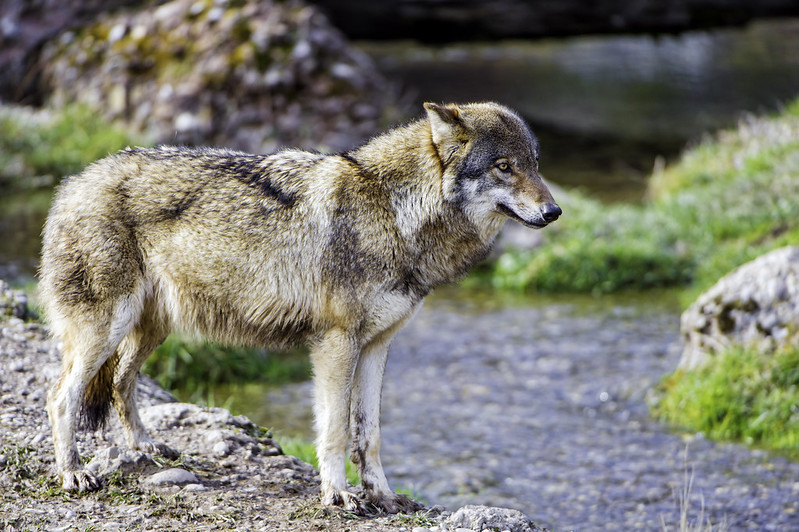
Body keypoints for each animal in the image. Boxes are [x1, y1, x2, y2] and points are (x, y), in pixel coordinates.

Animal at [40, 102, 560, 514]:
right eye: (504, 166)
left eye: (535, 165)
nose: (554, 212)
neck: (394, 212)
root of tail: (73, 182)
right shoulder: (336, 344)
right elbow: (335, 431)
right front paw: (340, 495)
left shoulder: (377, 347)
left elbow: (369, 435)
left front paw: (383, 496)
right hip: (106, 330)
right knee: (61, 396)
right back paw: (74, 474)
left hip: (151, 328)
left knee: (121, 382)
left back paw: (147, 448)